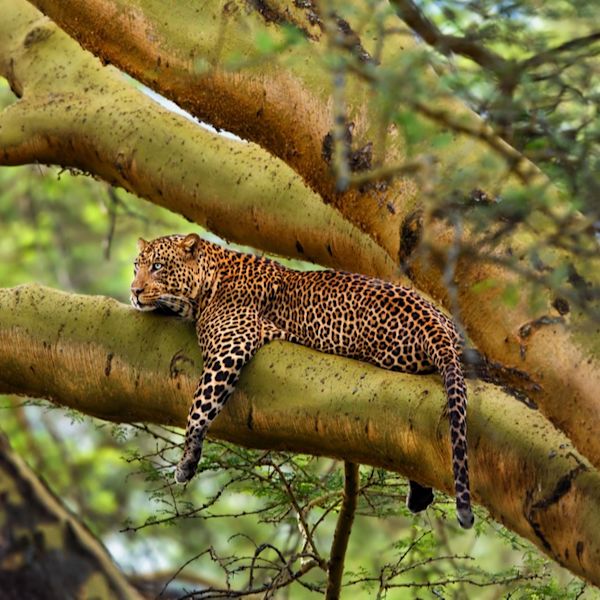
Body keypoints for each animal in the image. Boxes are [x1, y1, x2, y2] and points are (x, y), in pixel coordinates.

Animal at [131, 232, 474, 528]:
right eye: (136, 266)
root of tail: (435, 323)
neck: (209, 282)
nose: (134, 291)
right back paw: (420, 495)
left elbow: (199, 406)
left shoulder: (231, 345)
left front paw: (186, 461)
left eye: (158, 266)